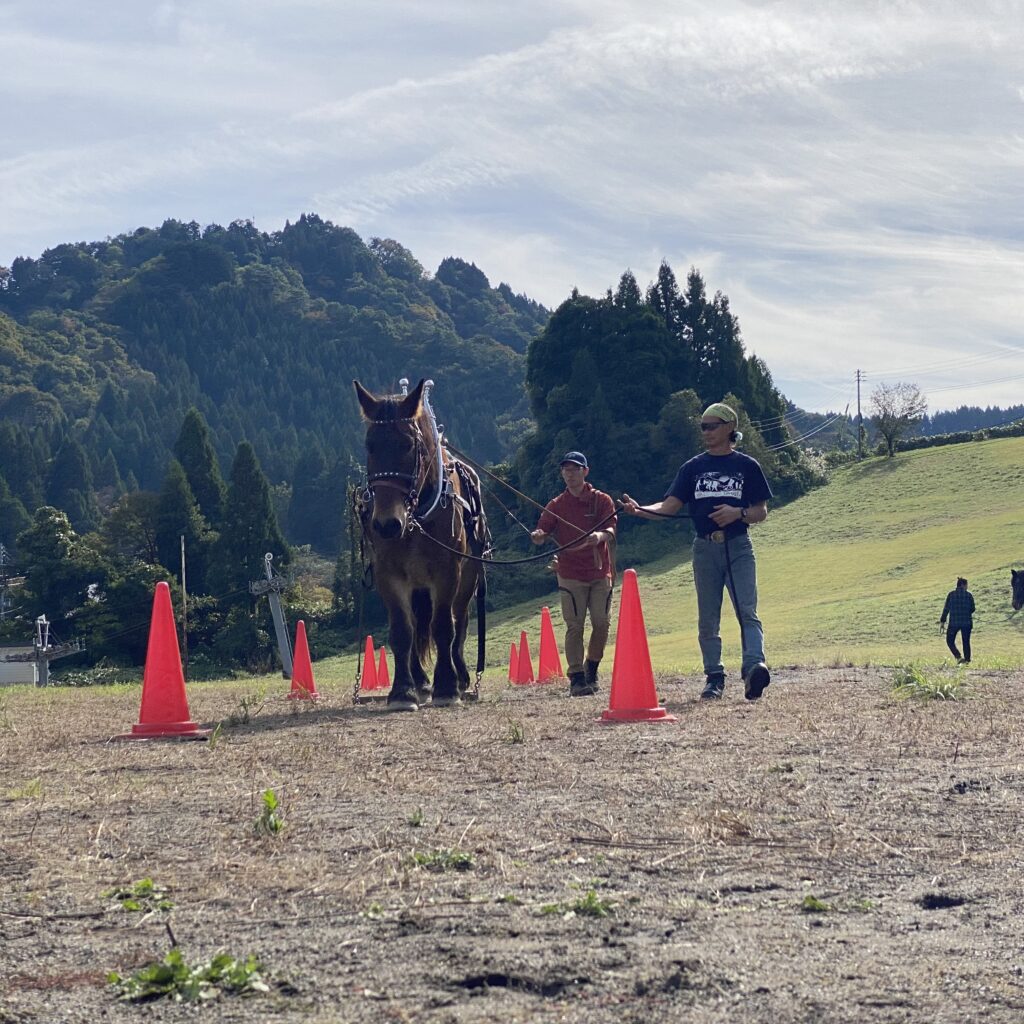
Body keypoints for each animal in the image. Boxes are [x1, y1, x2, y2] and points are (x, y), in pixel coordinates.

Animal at [356, 378, 491, 712]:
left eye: (407, 445)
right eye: (370, 446)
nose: (386, 524)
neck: (415, 517)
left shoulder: (448, 571)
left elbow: (444, 626)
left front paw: (447, 686)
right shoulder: (388, 574)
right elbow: (402, 631)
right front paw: (403, 691)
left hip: (468, 577)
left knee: (459, 621)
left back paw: (461, 676)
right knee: (417, 623)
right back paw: (419, 681)